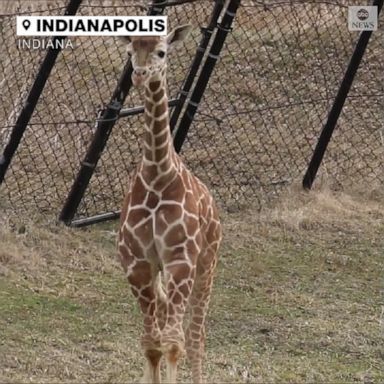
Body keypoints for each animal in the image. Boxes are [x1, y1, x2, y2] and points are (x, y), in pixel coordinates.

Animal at [118, 25, 224, 382]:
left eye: (162, 51)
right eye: (130, 51)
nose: (139, 75)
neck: (156, 176)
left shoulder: (181, 259)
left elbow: (174, 343)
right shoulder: (137, 263)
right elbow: (152, 343)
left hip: (207, 261)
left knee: (195, 334)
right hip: (161, 271)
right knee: (165, 317)